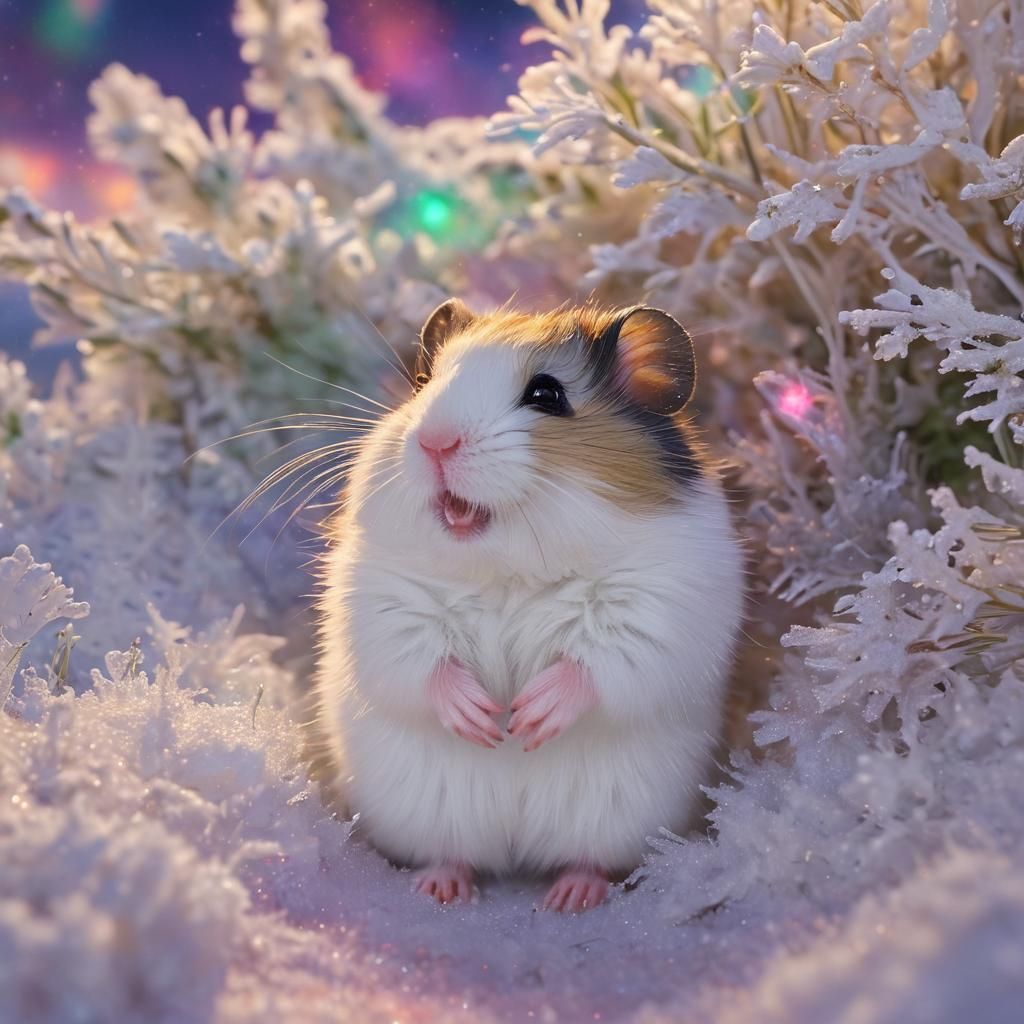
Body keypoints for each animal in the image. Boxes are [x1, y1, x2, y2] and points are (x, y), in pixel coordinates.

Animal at [309, 300, 744, 912]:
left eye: (546, 395)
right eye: (423, 383)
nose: (435, 442)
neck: (507, 570)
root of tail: (516, 852)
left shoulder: (661, 605)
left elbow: (595, 662)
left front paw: (529, 720)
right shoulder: (382, 602)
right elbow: (424, 660)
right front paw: (486, 722)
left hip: (615, 819)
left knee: (587, 859)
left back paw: (570, 898)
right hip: (429, 815)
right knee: (451, 852)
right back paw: (440, 889)